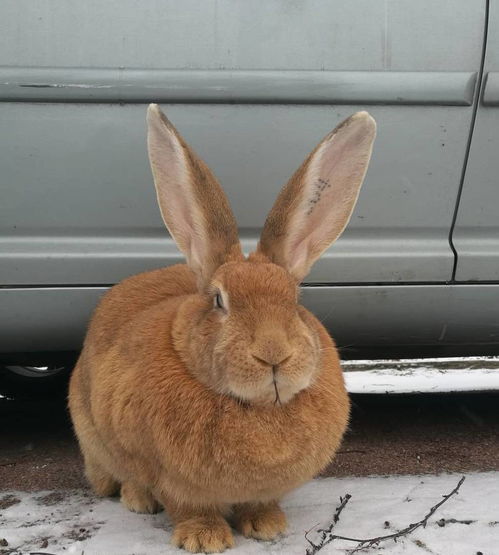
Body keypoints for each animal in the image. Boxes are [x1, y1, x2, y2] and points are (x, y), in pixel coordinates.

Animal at [68, 103, 376, 552]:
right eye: (218, 301)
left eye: (294, 301)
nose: (273, 354)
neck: (257, 407)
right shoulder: (173, 481)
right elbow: (187, 505)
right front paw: (204, 538)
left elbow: (260, 502)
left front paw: (268, 526)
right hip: (94, 440)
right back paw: (138, 500)